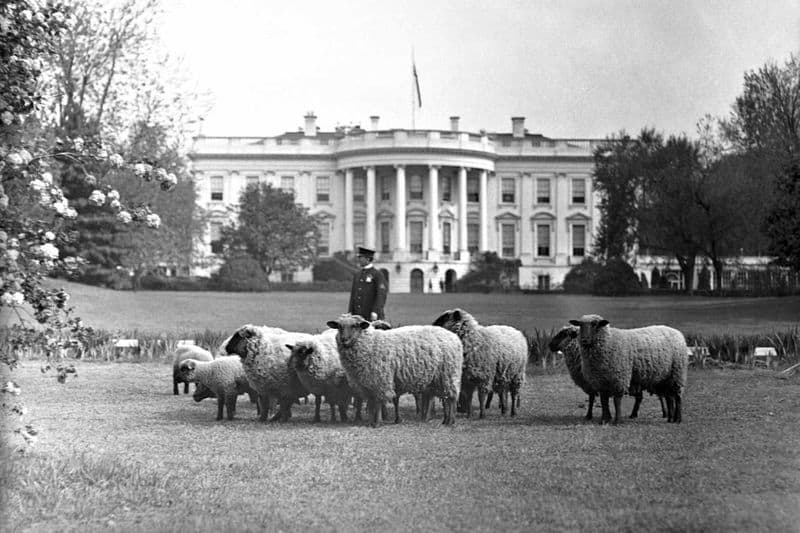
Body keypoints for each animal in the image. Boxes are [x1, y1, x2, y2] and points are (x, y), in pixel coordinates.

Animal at [324, 314, 462, 426]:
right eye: (339, 326)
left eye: (355, 326)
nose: (344, 339)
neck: (371, 343)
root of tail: (454, 337)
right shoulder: (366, 383)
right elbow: (371, 403)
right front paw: (369, 422)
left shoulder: (380, 380)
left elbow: (378, 403)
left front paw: (377, 423)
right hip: (434, 378)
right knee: (436, 398)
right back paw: (436, 419)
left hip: (448, 374)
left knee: (451, 398)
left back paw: (451, 421)